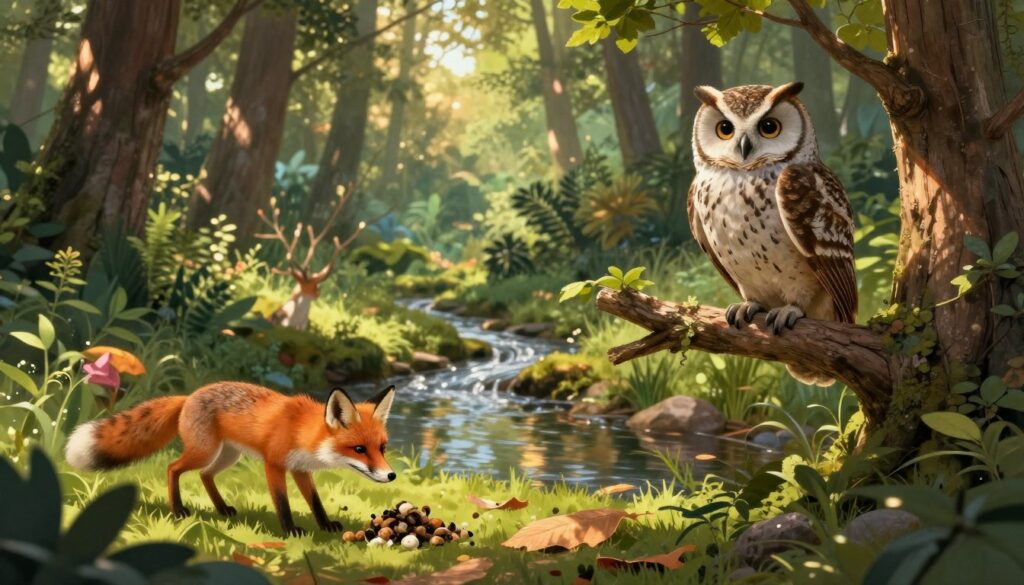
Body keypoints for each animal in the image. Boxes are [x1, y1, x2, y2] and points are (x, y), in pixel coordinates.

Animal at [65, 382, 397, 536]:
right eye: (359, 449)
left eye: (383, 448)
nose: (391, 476)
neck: (303, 432)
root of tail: (188, 396)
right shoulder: (275, 464)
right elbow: (282, 502)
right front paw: (290, 530)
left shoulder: (301, 469)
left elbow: (315, 501)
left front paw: (325, 524)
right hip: (204, 452)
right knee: (174, 468)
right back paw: (177, 509)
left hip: (227, 456)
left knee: (205, 475)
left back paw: (222, 509)